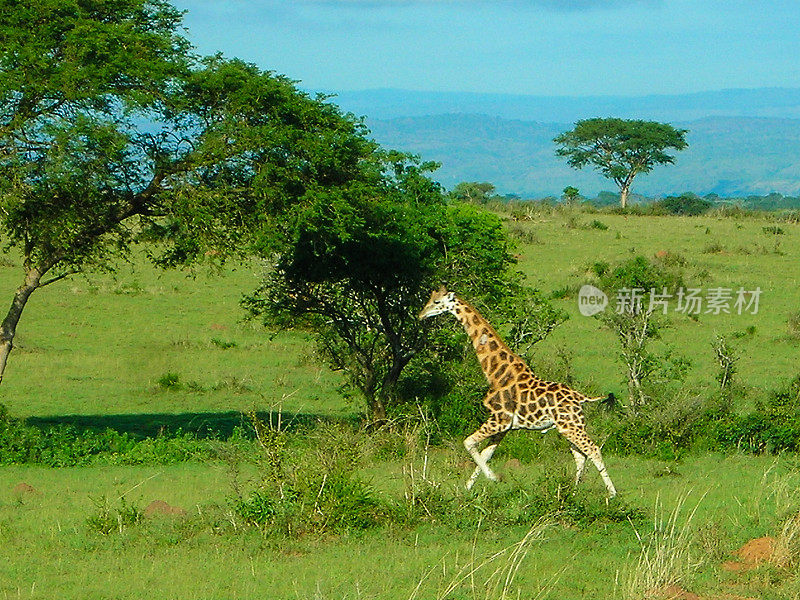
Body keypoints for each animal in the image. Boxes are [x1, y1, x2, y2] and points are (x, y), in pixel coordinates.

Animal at [418, 286, 620, 496]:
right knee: (580, 455)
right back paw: (572, 491)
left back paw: (612, 494)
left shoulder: (499, 419)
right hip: (569, 426)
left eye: (437, 302)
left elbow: (468, 442)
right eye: (430, 299)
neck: (496, 374)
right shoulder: (504, 426)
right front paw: (468, 488)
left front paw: (492, 478)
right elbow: (485, 453)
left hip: (571, 425)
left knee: (593, 449)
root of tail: (581, 397)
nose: (420, 315)